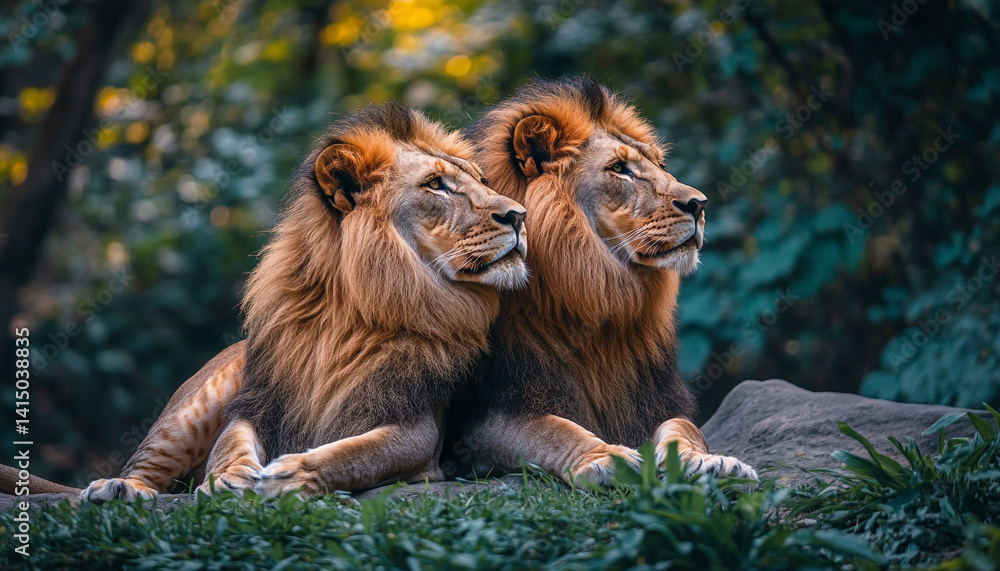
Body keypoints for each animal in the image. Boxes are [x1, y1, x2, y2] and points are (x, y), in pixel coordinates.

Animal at [2, 104, 528, 500]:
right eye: (436, 185)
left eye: (481, 180)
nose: (519, 215)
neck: (354, 308)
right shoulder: (258, 401)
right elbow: (230, 444)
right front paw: (227, 479)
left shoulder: (415, 427)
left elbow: (358, 453)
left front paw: (291, 475)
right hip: (192, 407)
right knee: (145, 469)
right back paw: (120, 489)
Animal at [443, 77, 757, 486]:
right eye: (620, 168)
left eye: (660, 164)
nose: (699, 204)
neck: (601, 296)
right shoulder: (484, 419)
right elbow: (555, 430)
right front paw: (609, 458)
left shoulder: (655, 398)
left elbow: (683, 428)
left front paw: (709, 462)